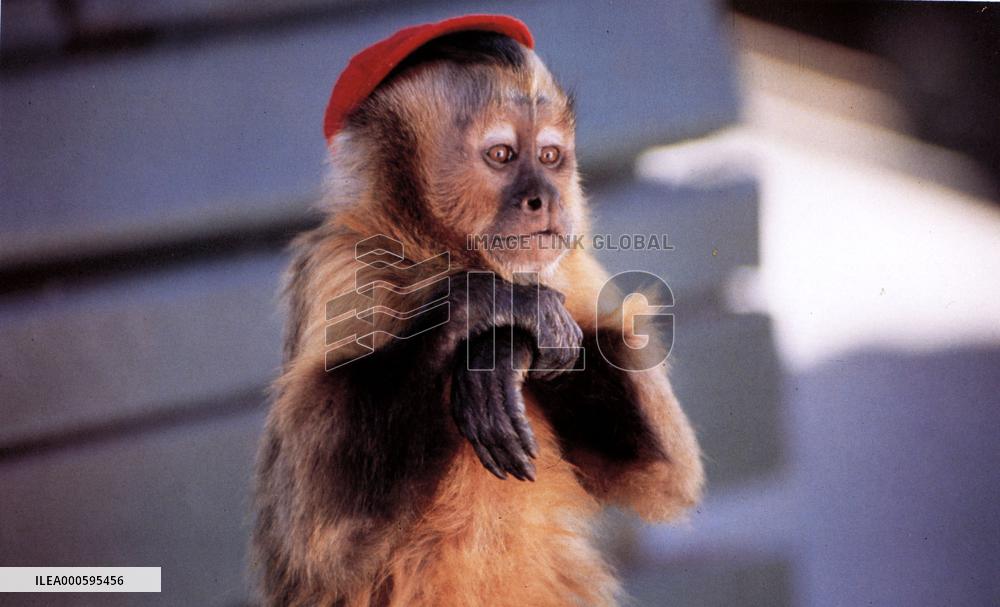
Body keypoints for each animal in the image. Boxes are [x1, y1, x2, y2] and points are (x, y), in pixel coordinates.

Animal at [253, 17, 703, 607]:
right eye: (503, 155)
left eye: (550, 157)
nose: (545, 198)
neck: (438, 251)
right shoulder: (340, 267)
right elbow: (318, 545)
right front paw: (491, 310)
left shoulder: (572, 267)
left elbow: (663, 473)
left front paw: (507, 351)